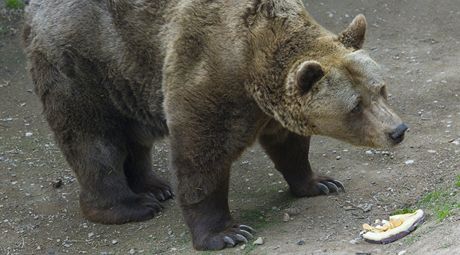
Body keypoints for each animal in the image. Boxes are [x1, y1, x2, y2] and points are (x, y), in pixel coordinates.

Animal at [23, 0, 408, 251]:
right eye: (356, 106)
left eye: (380, 89)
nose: (397, 130)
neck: (253, 61)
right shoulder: (207, 74)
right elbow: (201, 157)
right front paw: (226, 233)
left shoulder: (268, 108)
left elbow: (290, 146)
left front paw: (320, 182)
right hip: (84, 67)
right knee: (94, 143)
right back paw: (131, 205)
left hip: (126, 81)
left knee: (134, 139)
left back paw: (154, 187)